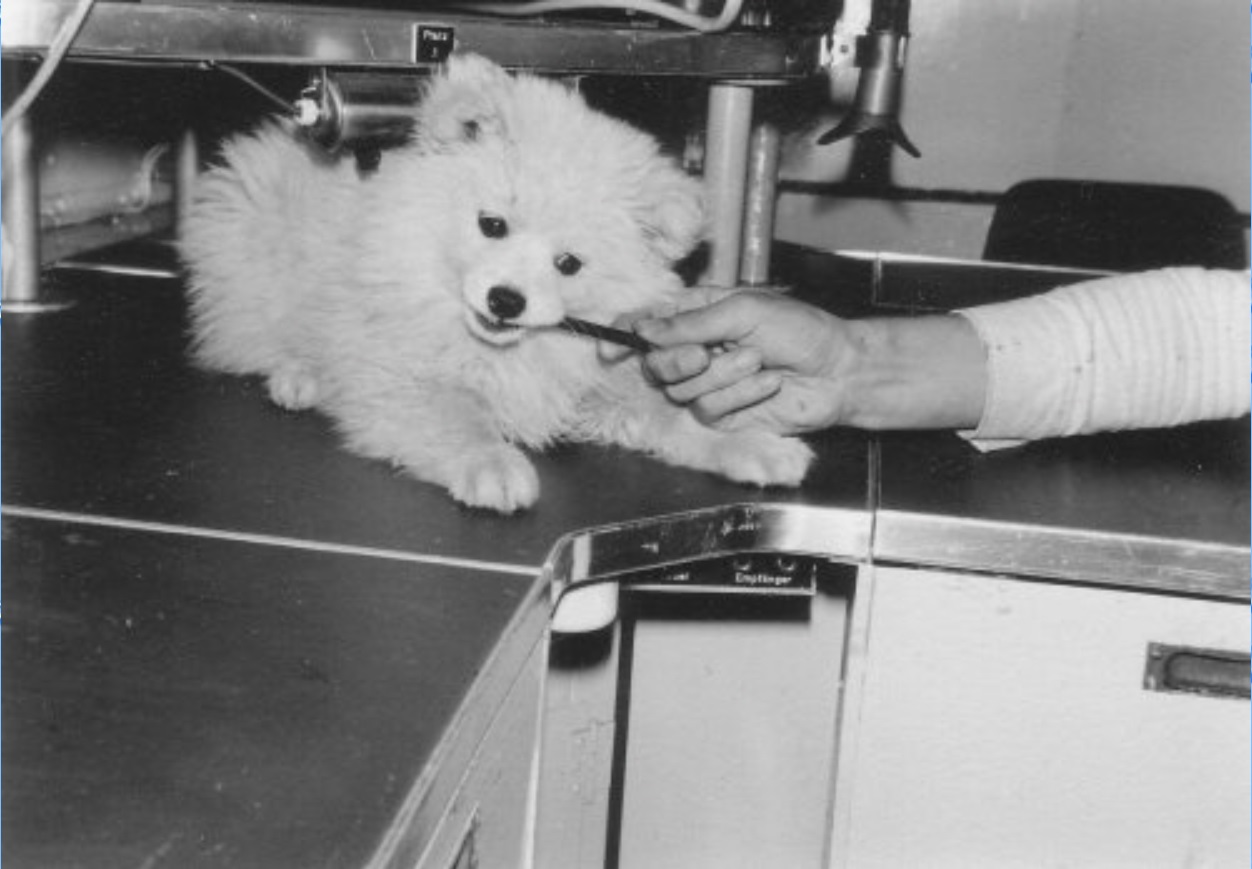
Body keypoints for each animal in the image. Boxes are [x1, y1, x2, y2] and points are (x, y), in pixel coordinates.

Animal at [180, 54, 813, 513]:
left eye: (568, 263)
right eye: (492, 225)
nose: (506, 300)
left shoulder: (594, 384)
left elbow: (669, 415)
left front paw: (752, 444)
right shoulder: (402, 379)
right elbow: (456, 417)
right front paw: (492, 464)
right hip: (251, 267)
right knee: (247, 339)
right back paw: (300, 377)